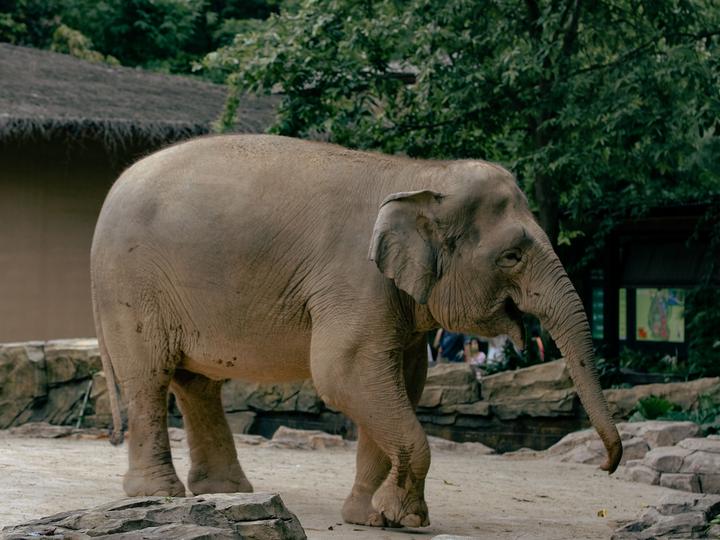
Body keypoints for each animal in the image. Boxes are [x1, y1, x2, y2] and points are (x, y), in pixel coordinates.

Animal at [91, 134, 622, 528]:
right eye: (511, 256)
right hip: (130, 287)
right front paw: (404, 519)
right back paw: (160, 494)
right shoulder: (355, 281)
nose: (606, 465)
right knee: (150, 377)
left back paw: (224, 492)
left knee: (196, 384)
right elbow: (344, 374)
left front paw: (370, 518)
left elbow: (398, 381)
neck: (421, 176)